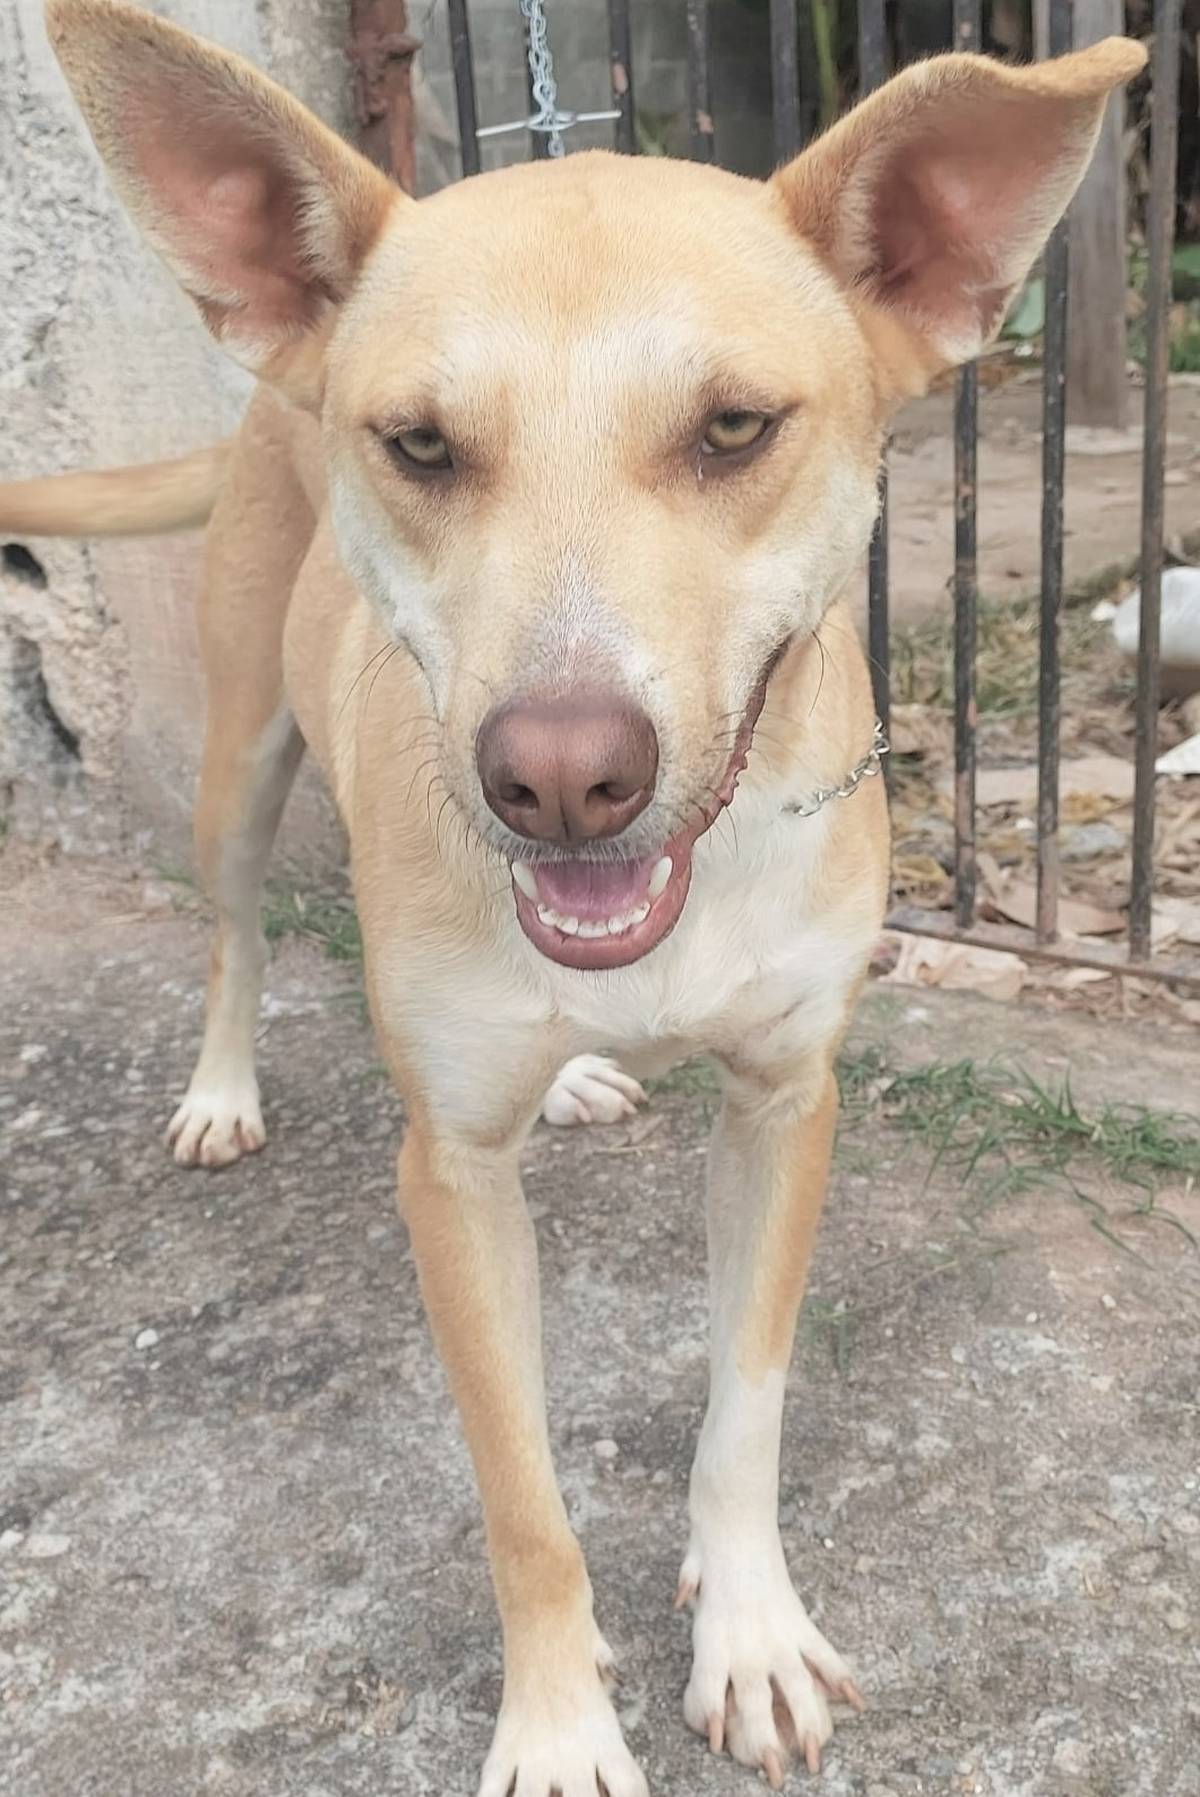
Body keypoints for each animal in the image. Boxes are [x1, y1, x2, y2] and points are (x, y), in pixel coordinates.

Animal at [2, 4, 1143, 1789]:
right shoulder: (451, 1176)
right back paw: (221, 1087)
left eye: (735, 427)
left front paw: (747, 1631)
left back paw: (586, 1070)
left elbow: (747, 1403)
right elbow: (523, 1498)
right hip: (239, 762)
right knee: (236, 932)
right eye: (420, 442)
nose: (558, 778)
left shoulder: (789, 1102)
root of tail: (270, 385)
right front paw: (556, 1721)